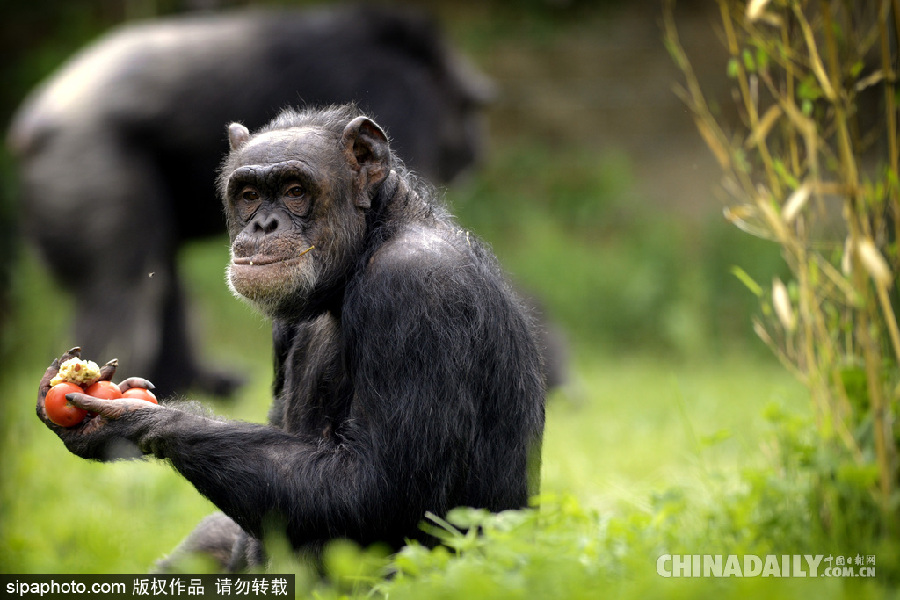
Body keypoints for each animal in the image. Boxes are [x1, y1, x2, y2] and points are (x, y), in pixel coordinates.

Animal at [8, 7, 492, 398]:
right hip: (88, 163)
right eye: (470, 109)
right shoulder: (398, 93)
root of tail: (31, 124)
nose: (476, 145)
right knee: (121, 287)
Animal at [37, 106, 548, 572]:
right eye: (248, 194)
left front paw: (132, 418)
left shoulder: (417, 290)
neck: (367, 247)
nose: (263, 225)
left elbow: (375, 490)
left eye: (295, 190)